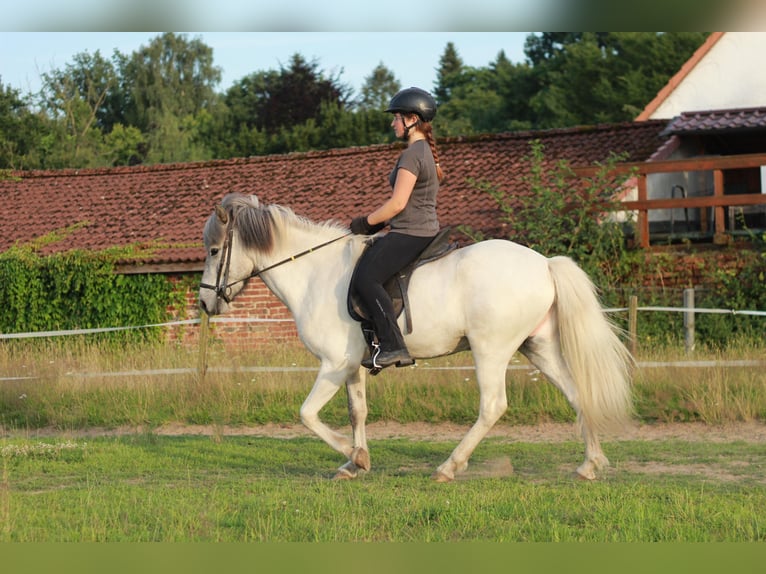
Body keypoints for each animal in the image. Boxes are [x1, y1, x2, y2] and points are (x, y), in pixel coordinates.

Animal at [198, 192, 636, 482]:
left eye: (215, 250)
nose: (204, 302)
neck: (313, 274)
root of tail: (544, 263)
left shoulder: (334, 364)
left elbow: (307, 414)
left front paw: (354, 457)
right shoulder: (351, 366)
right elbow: (357, 412)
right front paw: (354, 463)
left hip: (491, 349)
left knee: (493, 406)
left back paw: (448, 467)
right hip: (538, 346)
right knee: (576, 393)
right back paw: (590, 465)